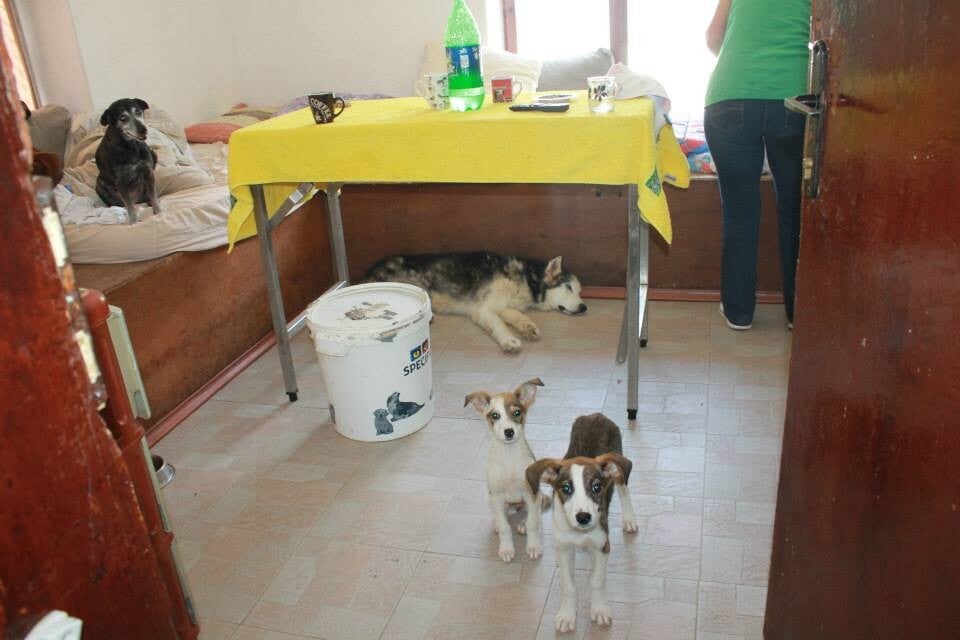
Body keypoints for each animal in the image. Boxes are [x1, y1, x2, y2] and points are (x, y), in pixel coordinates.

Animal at [364, 252, 587, 353]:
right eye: (569, 288)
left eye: (580, 291)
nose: (584, 306)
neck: (527, 279)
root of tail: (368, 272)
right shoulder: (484, 309)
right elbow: (499, 324)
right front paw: (509, 340)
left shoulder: (505, 306)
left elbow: (517, 316)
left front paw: (528, 327)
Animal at [465, 378, 546, 562]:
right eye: (495, 415)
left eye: (516, 413)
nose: (509, 432)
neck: (509, 456)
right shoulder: (496, 495)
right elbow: (504, 527)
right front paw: (507, 549)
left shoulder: (530, 492)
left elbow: (533, 522)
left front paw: (533, 547)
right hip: (491, 499)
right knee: (501, 516)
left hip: (538, 496)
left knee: (533, 515)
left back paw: (523, 524)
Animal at [526, 413, 638, 632]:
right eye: (566, 489)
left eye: (596, 487)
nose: (584, 517)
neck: (580, 533)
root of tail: (596, 415)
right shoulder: (563, 549)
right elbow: (568, 585)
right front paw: (567, 615)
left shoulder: (603, 546)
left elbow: (597, 580)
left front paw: (600, 609)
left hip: (618, 468)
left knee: (624, 489)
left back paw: (629, 519)